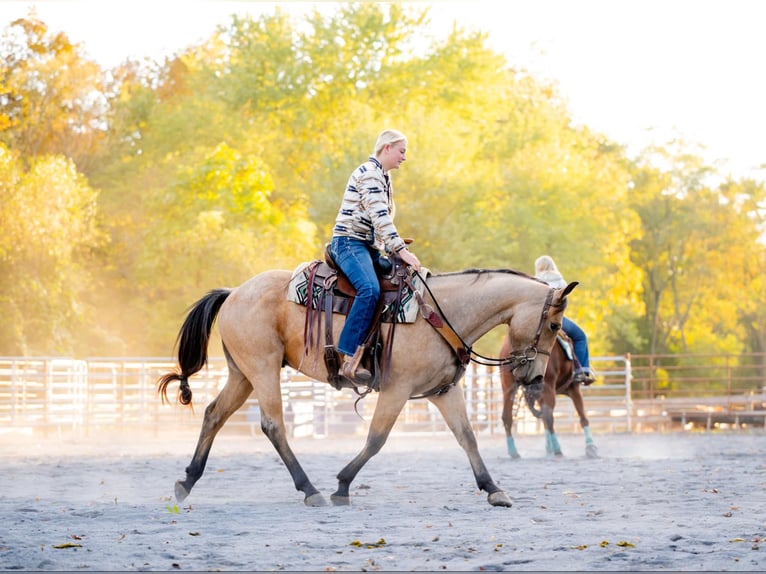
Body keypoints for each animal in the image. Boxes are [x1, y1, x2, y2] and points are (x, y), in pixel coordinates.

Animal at [158, 264, 576, 510]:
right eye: (555, 325)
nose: (534, 378)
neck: (441, 314)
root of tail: (233, 293)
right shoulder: (397, 390)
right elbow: (377, 439)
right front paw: (342, 486)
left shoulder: (443, 391)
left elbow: (467, 437)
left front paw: (493, 488)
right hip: (262, 369)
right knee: (273, 425)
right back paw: (310, 489)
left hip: (242, 374)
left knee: (214, 414)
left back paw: (187, 481)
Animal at [500, 332, 604, 460]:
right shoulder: (574, 388)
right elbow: (583, 417)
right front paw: (590, 447)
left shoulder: (540, 395)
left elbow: (544, 420)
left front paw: (547, 448)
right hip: (548, 387)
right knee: (549, 417)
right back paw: (557, 449)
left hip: (508, 387)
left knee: (507, 417)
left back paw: (513, 451)